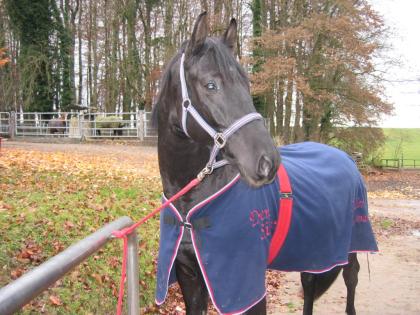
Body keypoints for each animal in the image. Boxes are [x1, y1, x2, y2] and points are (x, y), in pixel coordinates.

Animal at [153, 12, 376, 315]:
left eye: (246, 84)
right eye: (211, 84)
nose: (267, 162)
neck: (192, 204)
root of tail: (345, 157)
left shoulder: (246, 287)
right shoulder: (191, 277)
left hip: (350, 243)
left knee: (350, 278)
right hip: (313, 246)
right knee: (309, 282)